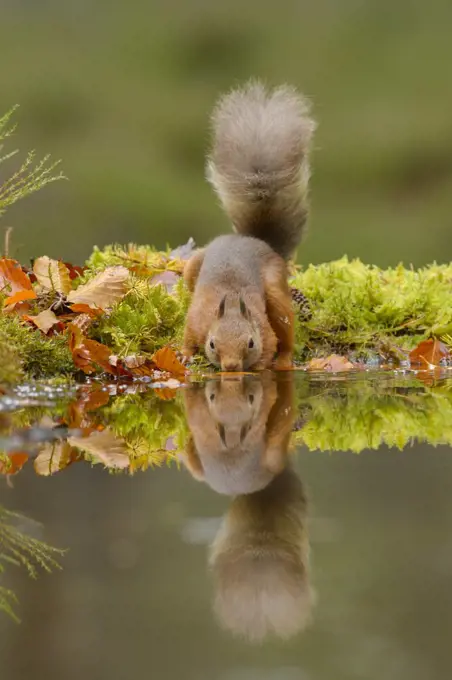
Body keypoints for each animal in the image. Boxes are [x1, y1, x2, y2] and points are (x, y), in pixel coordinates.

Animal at [182, 83, 316, 372]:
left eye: (250, 343)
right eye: (212, 344)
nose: (231, 367)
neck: (232, 301)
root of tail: (257, 241)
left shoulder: (263, 329)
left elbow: (272, 344)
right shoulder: (197, 317)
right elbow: (188, 334)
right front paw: (185, 355)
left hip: (275, 288)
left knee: (286, 328)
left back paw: (285, 361)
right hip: (192, 266)